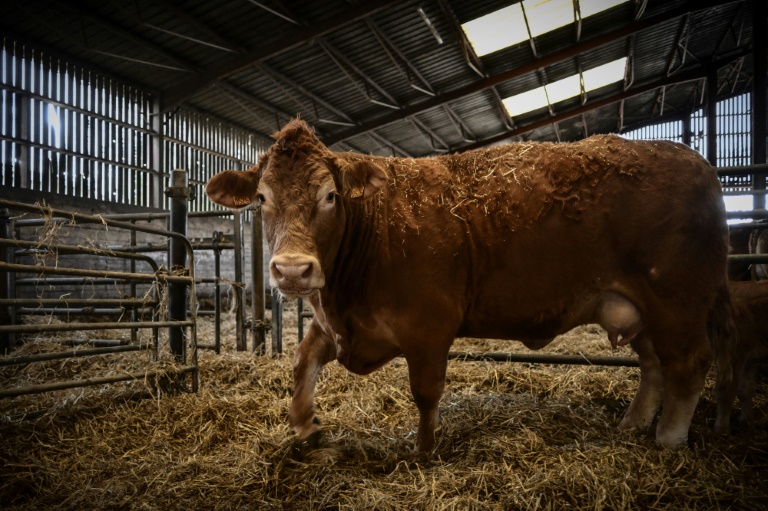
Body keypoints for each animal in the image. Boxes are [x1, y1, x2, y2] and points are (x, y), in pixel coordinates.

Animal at [206, 119, 732, 452]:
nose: (293, 270)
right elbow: (302, 359)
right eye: (261, 197)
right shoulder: (341, 325)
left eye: (330, 195)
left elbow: (425, 391)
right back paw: (632, 425)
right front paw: (304, 426)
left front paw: (424, 451)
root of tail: (694, 159)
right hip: (638, 306)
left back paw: (668, 439)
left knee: (689, 363)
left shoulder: (428, 325)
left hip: (676, 301)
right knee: (654, 365)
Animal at [712, 280, 768, 432]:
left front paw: (721, 429)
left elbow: (727, 391)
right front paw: (747, 421)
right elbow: (744, 389)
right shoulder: (750, 356)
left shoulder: (736, 353)